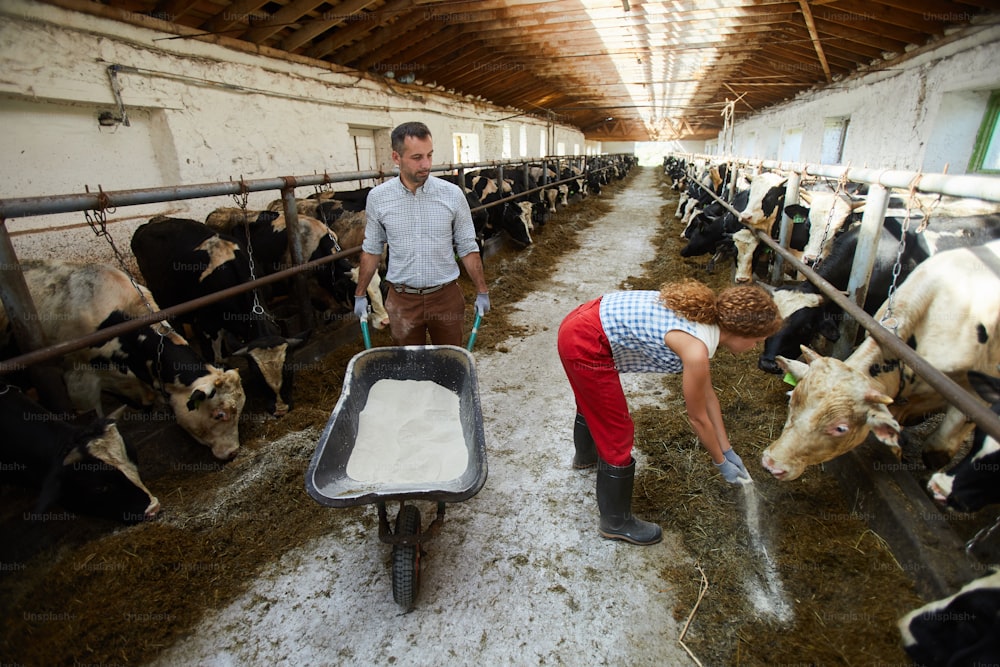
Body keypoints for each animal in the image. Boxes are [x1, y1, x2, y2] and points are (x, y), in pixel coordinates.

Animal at [133, 219, 302, 418]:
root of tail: (150, 224)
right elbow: (214, 358)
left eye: (289, 369)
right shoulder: (206, 324)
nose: (281, 410)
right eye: (256, 375)